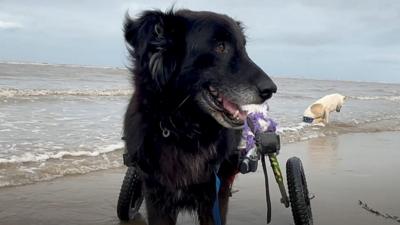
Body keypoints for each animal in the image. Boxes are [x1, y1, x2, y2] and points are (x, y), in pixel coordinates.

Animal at [123, 9, 276, 225]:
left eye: (244, 47)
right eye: (220, 47)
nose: (271, 90)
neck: (185, 131)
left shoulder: (215, 196)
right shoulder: (157, 198)